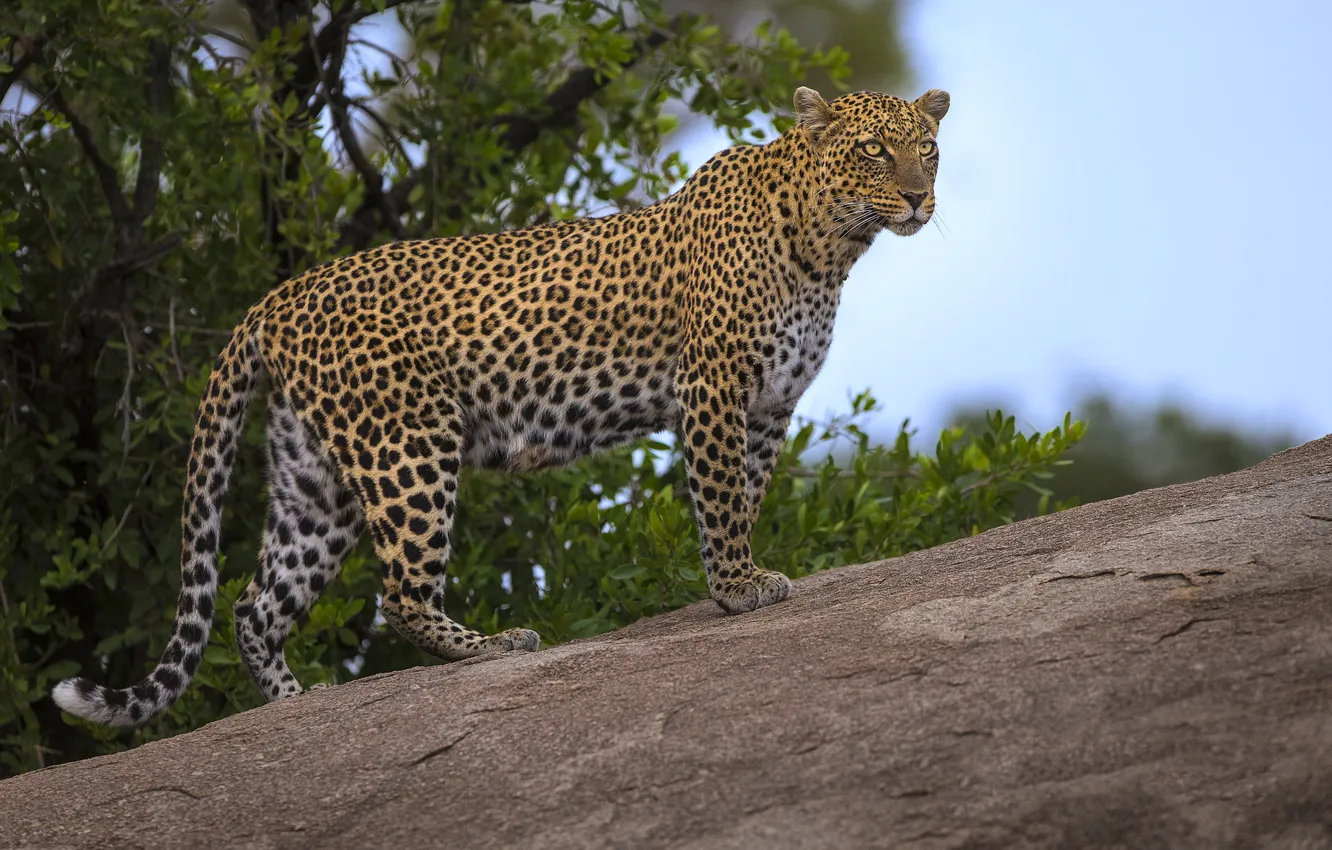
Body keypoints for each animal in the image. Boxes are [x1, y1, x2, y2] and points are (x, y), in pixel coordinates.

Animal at [53, 85, 950, 725]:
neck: (830, 247)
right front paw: (735, 588)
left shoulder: (768, 405)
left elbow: (748, 494)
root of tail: (277, 298)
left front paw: (747, 574)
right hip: (408, 444)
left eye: (928, 150)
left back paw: (294, 703)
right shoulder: (716, 388)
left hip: (317, 479)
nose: (917, 200)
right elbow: (723, 497)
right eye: (874, 150)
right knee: (399, 594)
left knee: (255, 602)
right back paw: (491, 646)